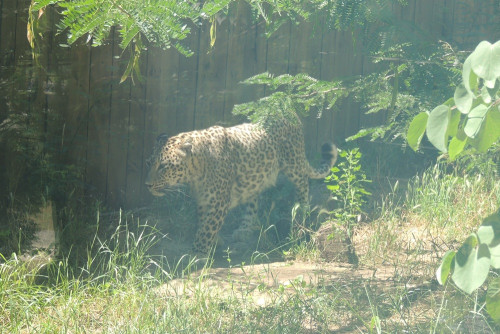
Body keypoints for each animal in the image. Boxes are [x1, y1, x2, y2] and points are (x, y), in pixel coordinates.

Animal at [146, 111, 340, 254]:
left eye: (163, 166)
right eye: (149, 163)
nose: (147, 185)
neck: (196, 171)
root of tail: (286, 111)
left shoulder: (218, 200)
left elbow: (208, 226)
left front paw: (198, 252)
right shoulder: (203, 199)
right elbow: (203, 222)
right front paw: (214, 242)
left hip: (294, 163)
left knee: (303, 184)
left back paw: (302, 212)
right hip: (253, 178)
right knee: (252, 201)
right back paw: (244, 230)